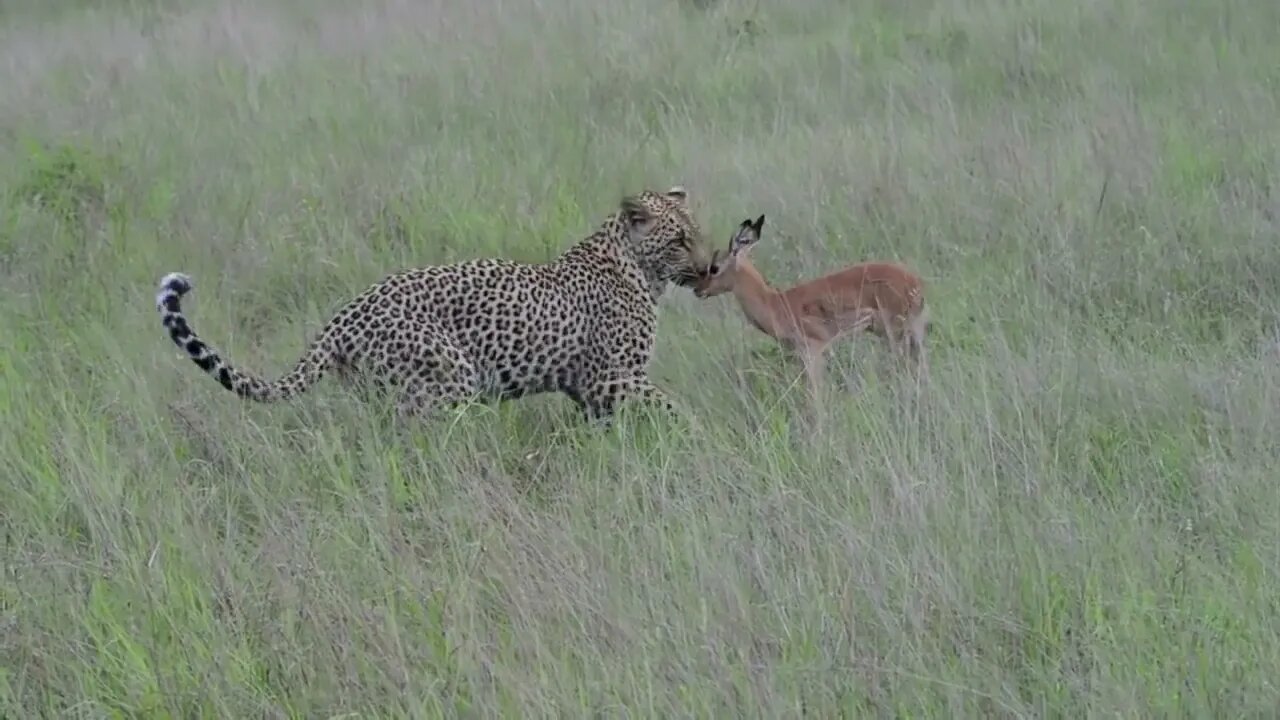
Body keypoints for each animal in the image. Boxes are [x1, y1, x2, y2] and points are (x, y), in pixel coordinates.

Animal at [154, 181, 716, 422]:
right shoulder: (613, 378)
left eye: (698, 234)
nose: (711, 266)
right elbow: (673, 407)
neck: (640, 269)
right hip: (446, 378)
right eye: (680, 240)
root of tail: (340, 319)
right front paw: (700, 435)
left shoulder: (593, 390)